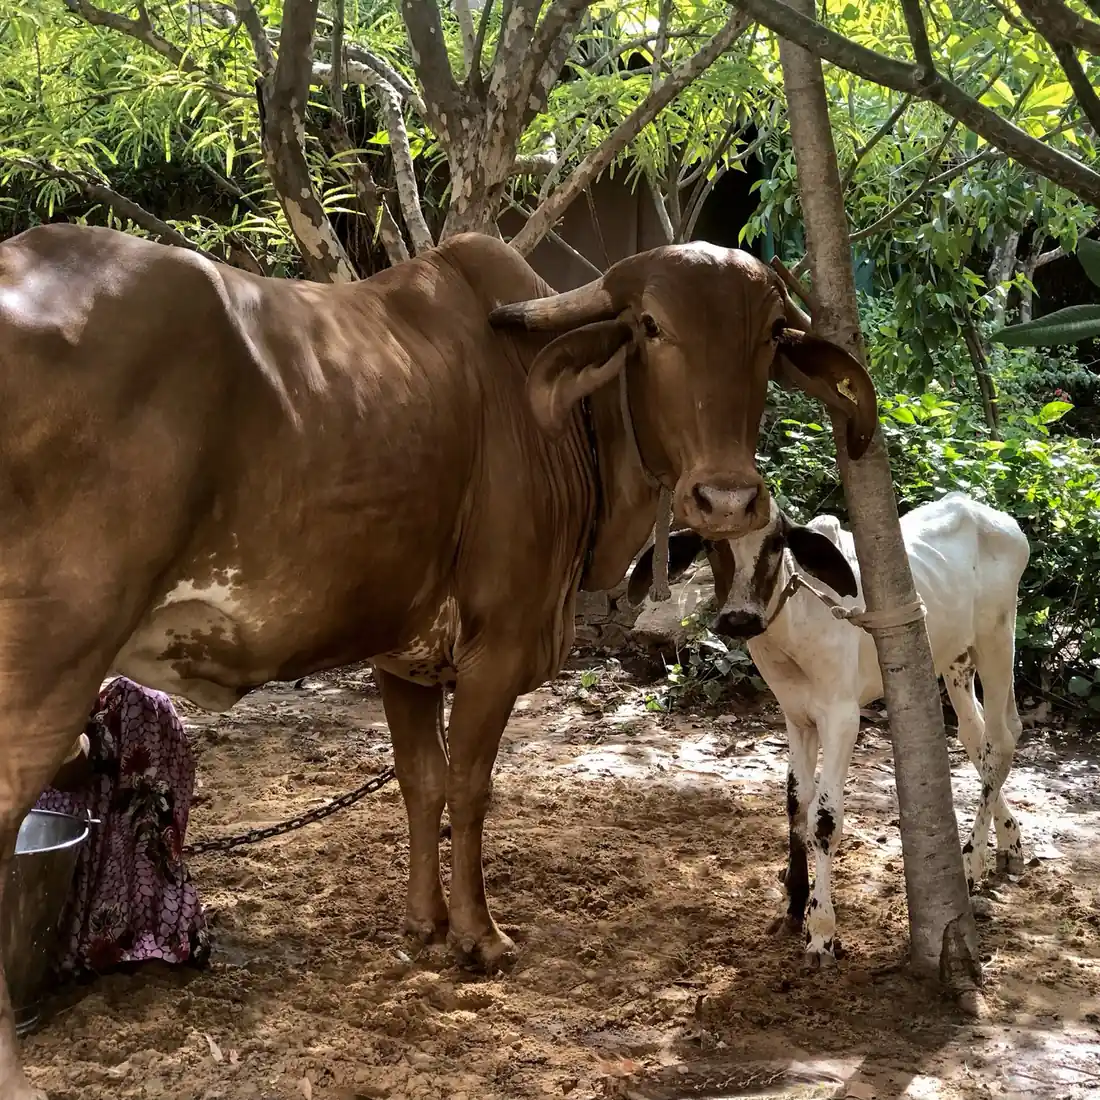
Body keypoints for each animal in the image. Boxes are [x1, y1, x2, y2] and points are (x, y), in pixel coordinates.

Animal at [0, 223, 877, 1098]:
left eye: (770, 334)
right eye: (652, 327)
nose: (727, 498)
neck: (566, 424)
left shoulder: (404, 659)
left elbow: (421, 781)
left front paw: (425, 921)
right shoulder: (497, 652)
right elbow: (468, 787)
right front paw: (477, 935)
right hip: (48, 673)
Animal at [629, 491, 1029, 967]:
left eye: (776, 543)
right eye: (710, 544)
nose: (740, 619)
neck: (795, 631)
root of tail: (991, 514)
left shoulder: (842, 717)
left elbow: (823, 817)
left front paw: (821, 930)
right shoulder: (795, 715)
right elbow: (795, 802)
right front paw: (794, 904)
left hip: (997, 639)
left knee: (1001, 739)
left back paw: (972, 863)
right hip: (954, 658)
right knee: (974, 736)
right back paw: (1009, 841)